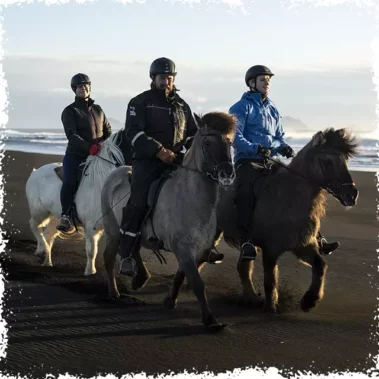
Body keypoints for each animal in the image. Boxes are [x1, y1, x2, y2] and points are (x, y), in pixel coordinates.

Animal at [25, 131, 126, 276]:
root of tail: (35, 172)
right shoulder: (91, 227)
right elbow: (92, 251)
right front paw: (90, 272)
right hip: (39, 211)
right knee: (34, 225)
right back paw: (42, 250)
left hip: (55, 217)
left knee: (48, 235)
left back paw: (47, 261)